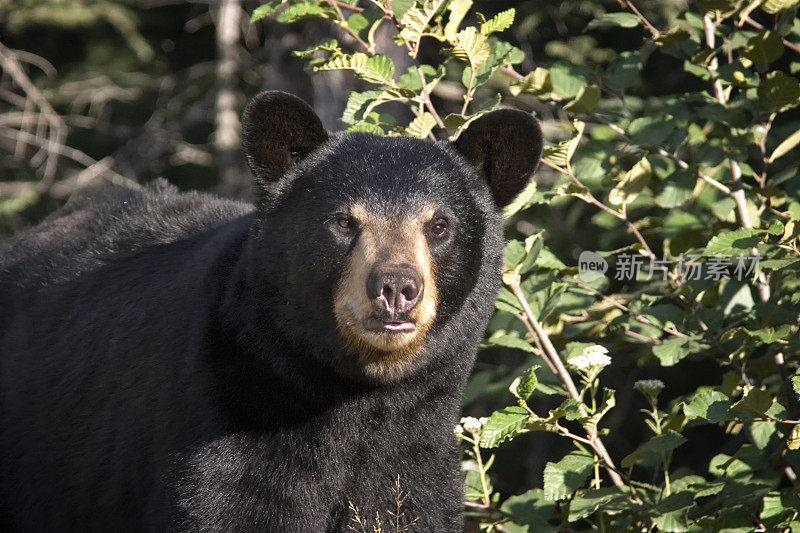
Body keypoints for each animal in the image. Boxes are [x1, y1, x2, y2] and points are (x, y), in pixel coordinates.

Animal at [0, 92, 544, 532]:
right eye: (344, 221)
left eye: (439, 225)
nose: (395, 287)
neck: (355, 395)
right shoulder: (224, 428)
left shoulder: (415, 463)